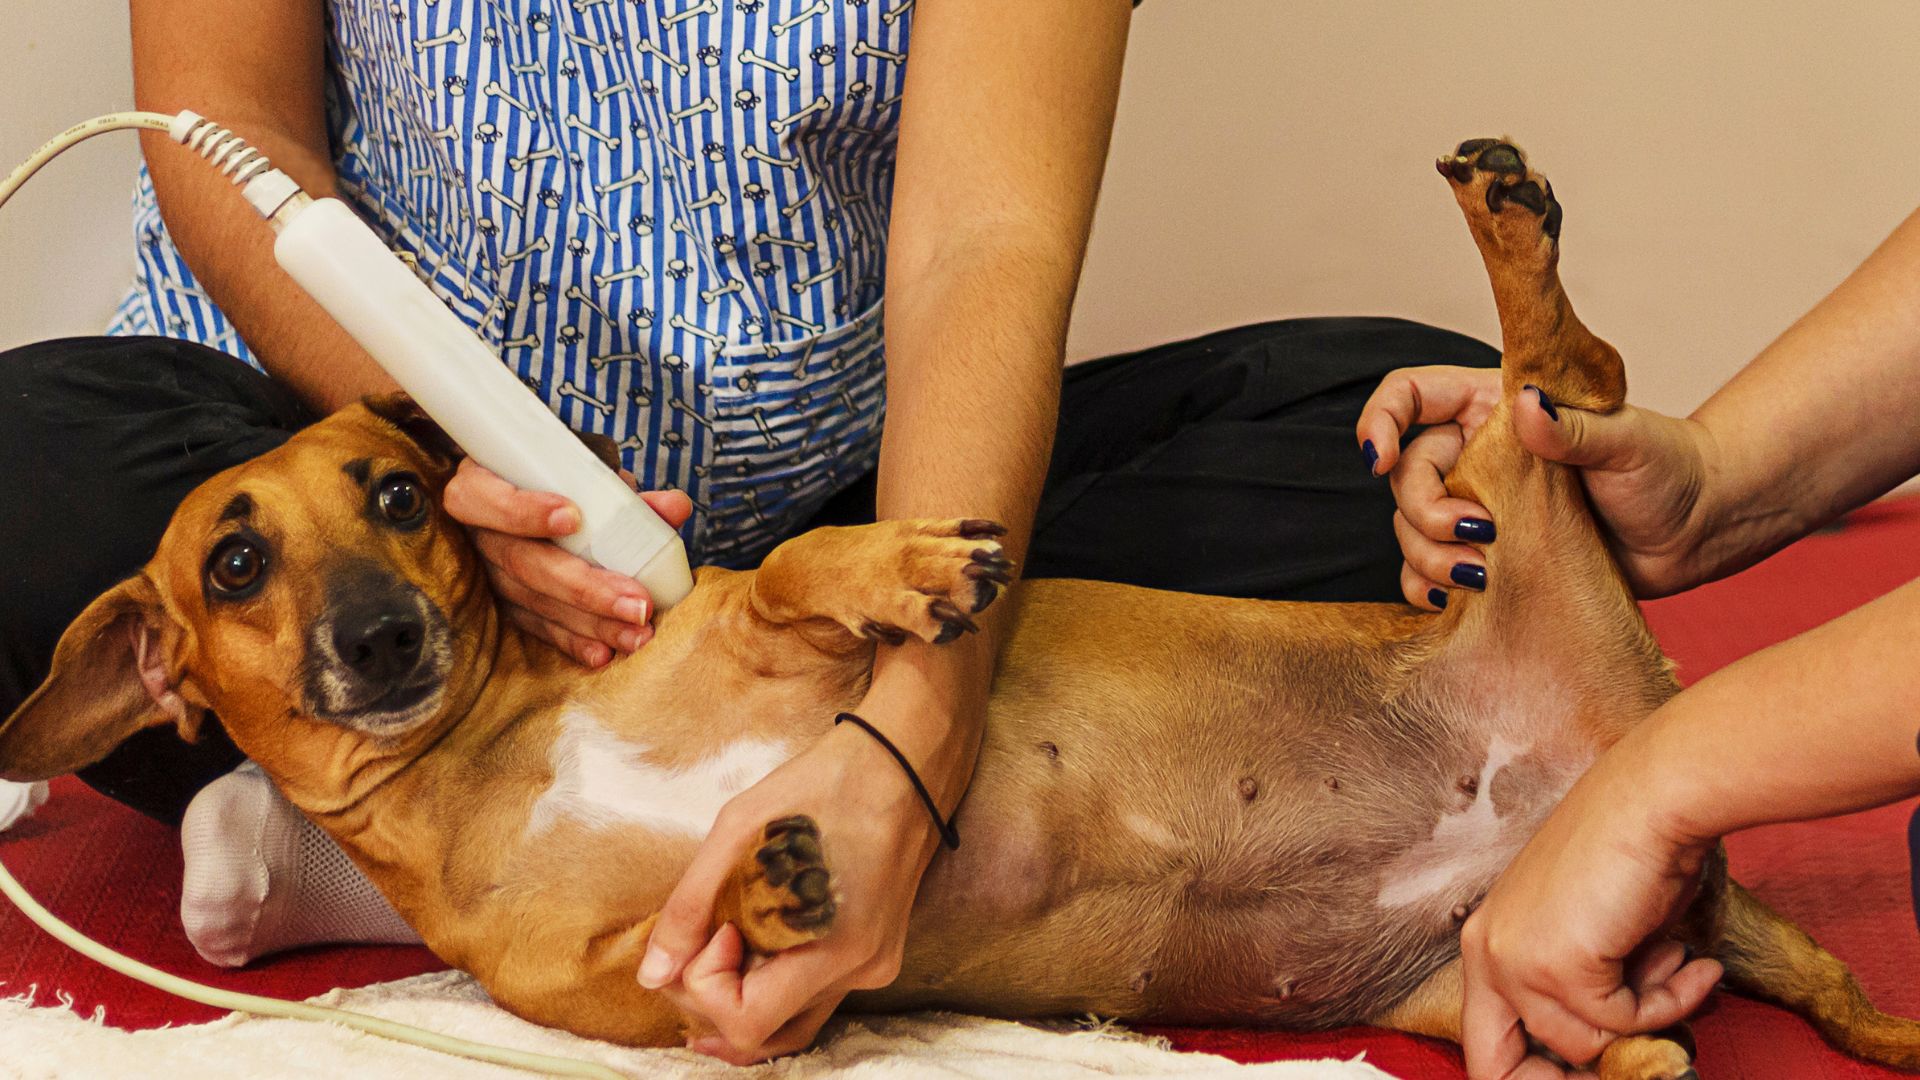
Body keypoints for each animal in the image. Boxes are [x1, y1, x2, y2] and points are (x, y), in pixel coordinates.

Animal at [3, 143, 1920, 1076]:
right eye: (235, 562)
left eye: (400, 496)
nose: (386, 636)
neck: (498, 754)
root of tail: (1626, 767)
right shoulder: (663, 1007)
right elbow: (704, 953)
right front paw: (771, 878)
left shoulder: (737, 616)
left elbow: (791, 573)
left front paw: (910, 566)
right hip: (1493, 995)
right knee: (1626, 1051)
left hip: (1527, 482)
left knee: (1567, 369)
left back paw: (1508, 216)